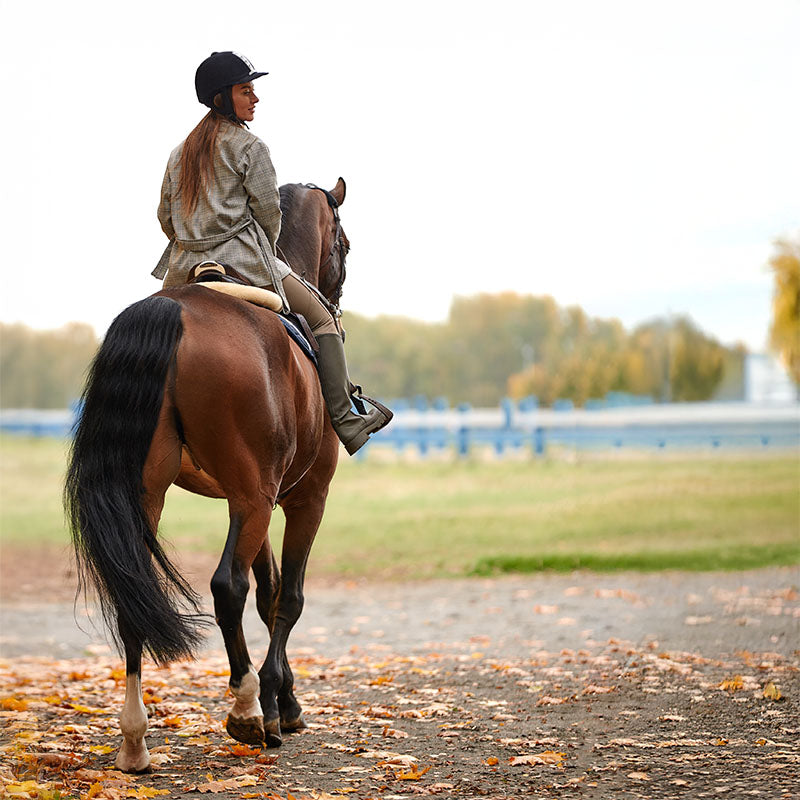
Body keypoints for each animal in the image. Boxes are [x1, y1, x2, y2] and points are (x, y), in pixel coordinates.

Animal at [65, 179, 351, 772]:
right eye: (346, 244)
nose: (338, 295)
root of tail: (173, 311)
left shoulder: (252, 498)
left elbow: (270, 595)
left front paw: (282, 700)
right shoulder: (301, 498)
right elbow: (288, 596)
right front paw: (277, 705)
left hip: (156, 495)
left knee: (134, 592)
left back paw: (135, 740)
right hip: (256, 497)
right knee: (227, 587)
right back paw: (244, 709)